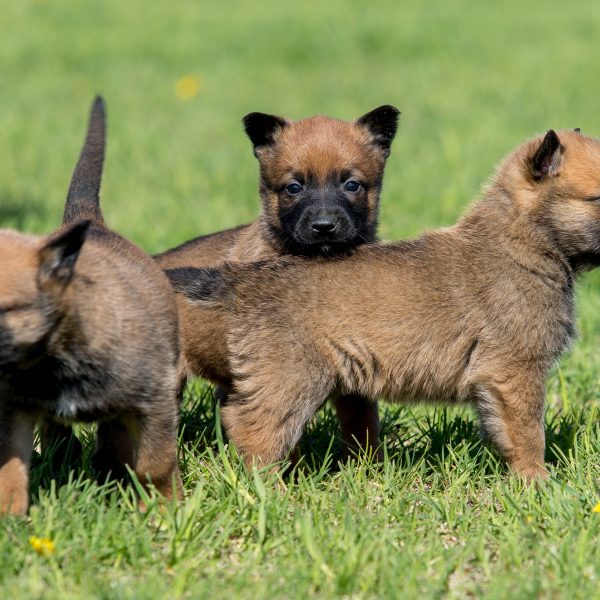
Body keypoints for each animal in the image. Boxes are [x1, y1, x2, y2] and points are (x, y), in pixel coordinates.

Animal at [0, 98, 183, 516]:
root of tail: (89, 221)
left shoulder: (155, 402)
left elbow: (156, 464)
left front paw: (165, 512)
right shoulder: (14, 411)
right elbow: (11, 471)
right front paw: (9, 516)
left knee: (116, 436)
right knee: (64, 432)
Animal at [165, 129, 600, 480]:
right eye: (598, 198)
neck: (519, 241)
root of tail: (247, 278)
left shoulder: (497, 384)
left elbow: (504, 432)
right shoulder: (516, 373)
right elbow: (529, 435)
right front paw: (538, 482)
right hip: (292, 379)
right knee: (252, 427)